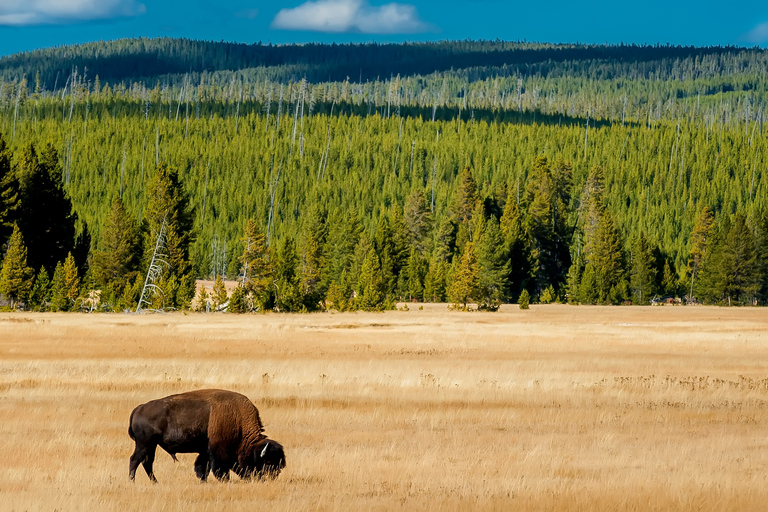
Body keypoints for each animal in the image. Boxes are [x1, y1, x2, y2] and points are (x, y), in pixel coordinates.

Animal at [129, 390, 284, 482]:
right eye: (267, 463)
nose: (270, 479)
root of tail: (139, 408)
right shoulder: (218, 451)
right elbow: (218, 469)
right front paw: (224, 480)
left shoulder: (205, 451)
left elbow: (202, 467)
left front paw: (203, 480)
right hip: (144, 444)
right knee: (135, 460)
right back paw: (133, 481)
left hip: (152, 445)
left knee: (147, 462)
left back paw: (155, 482)